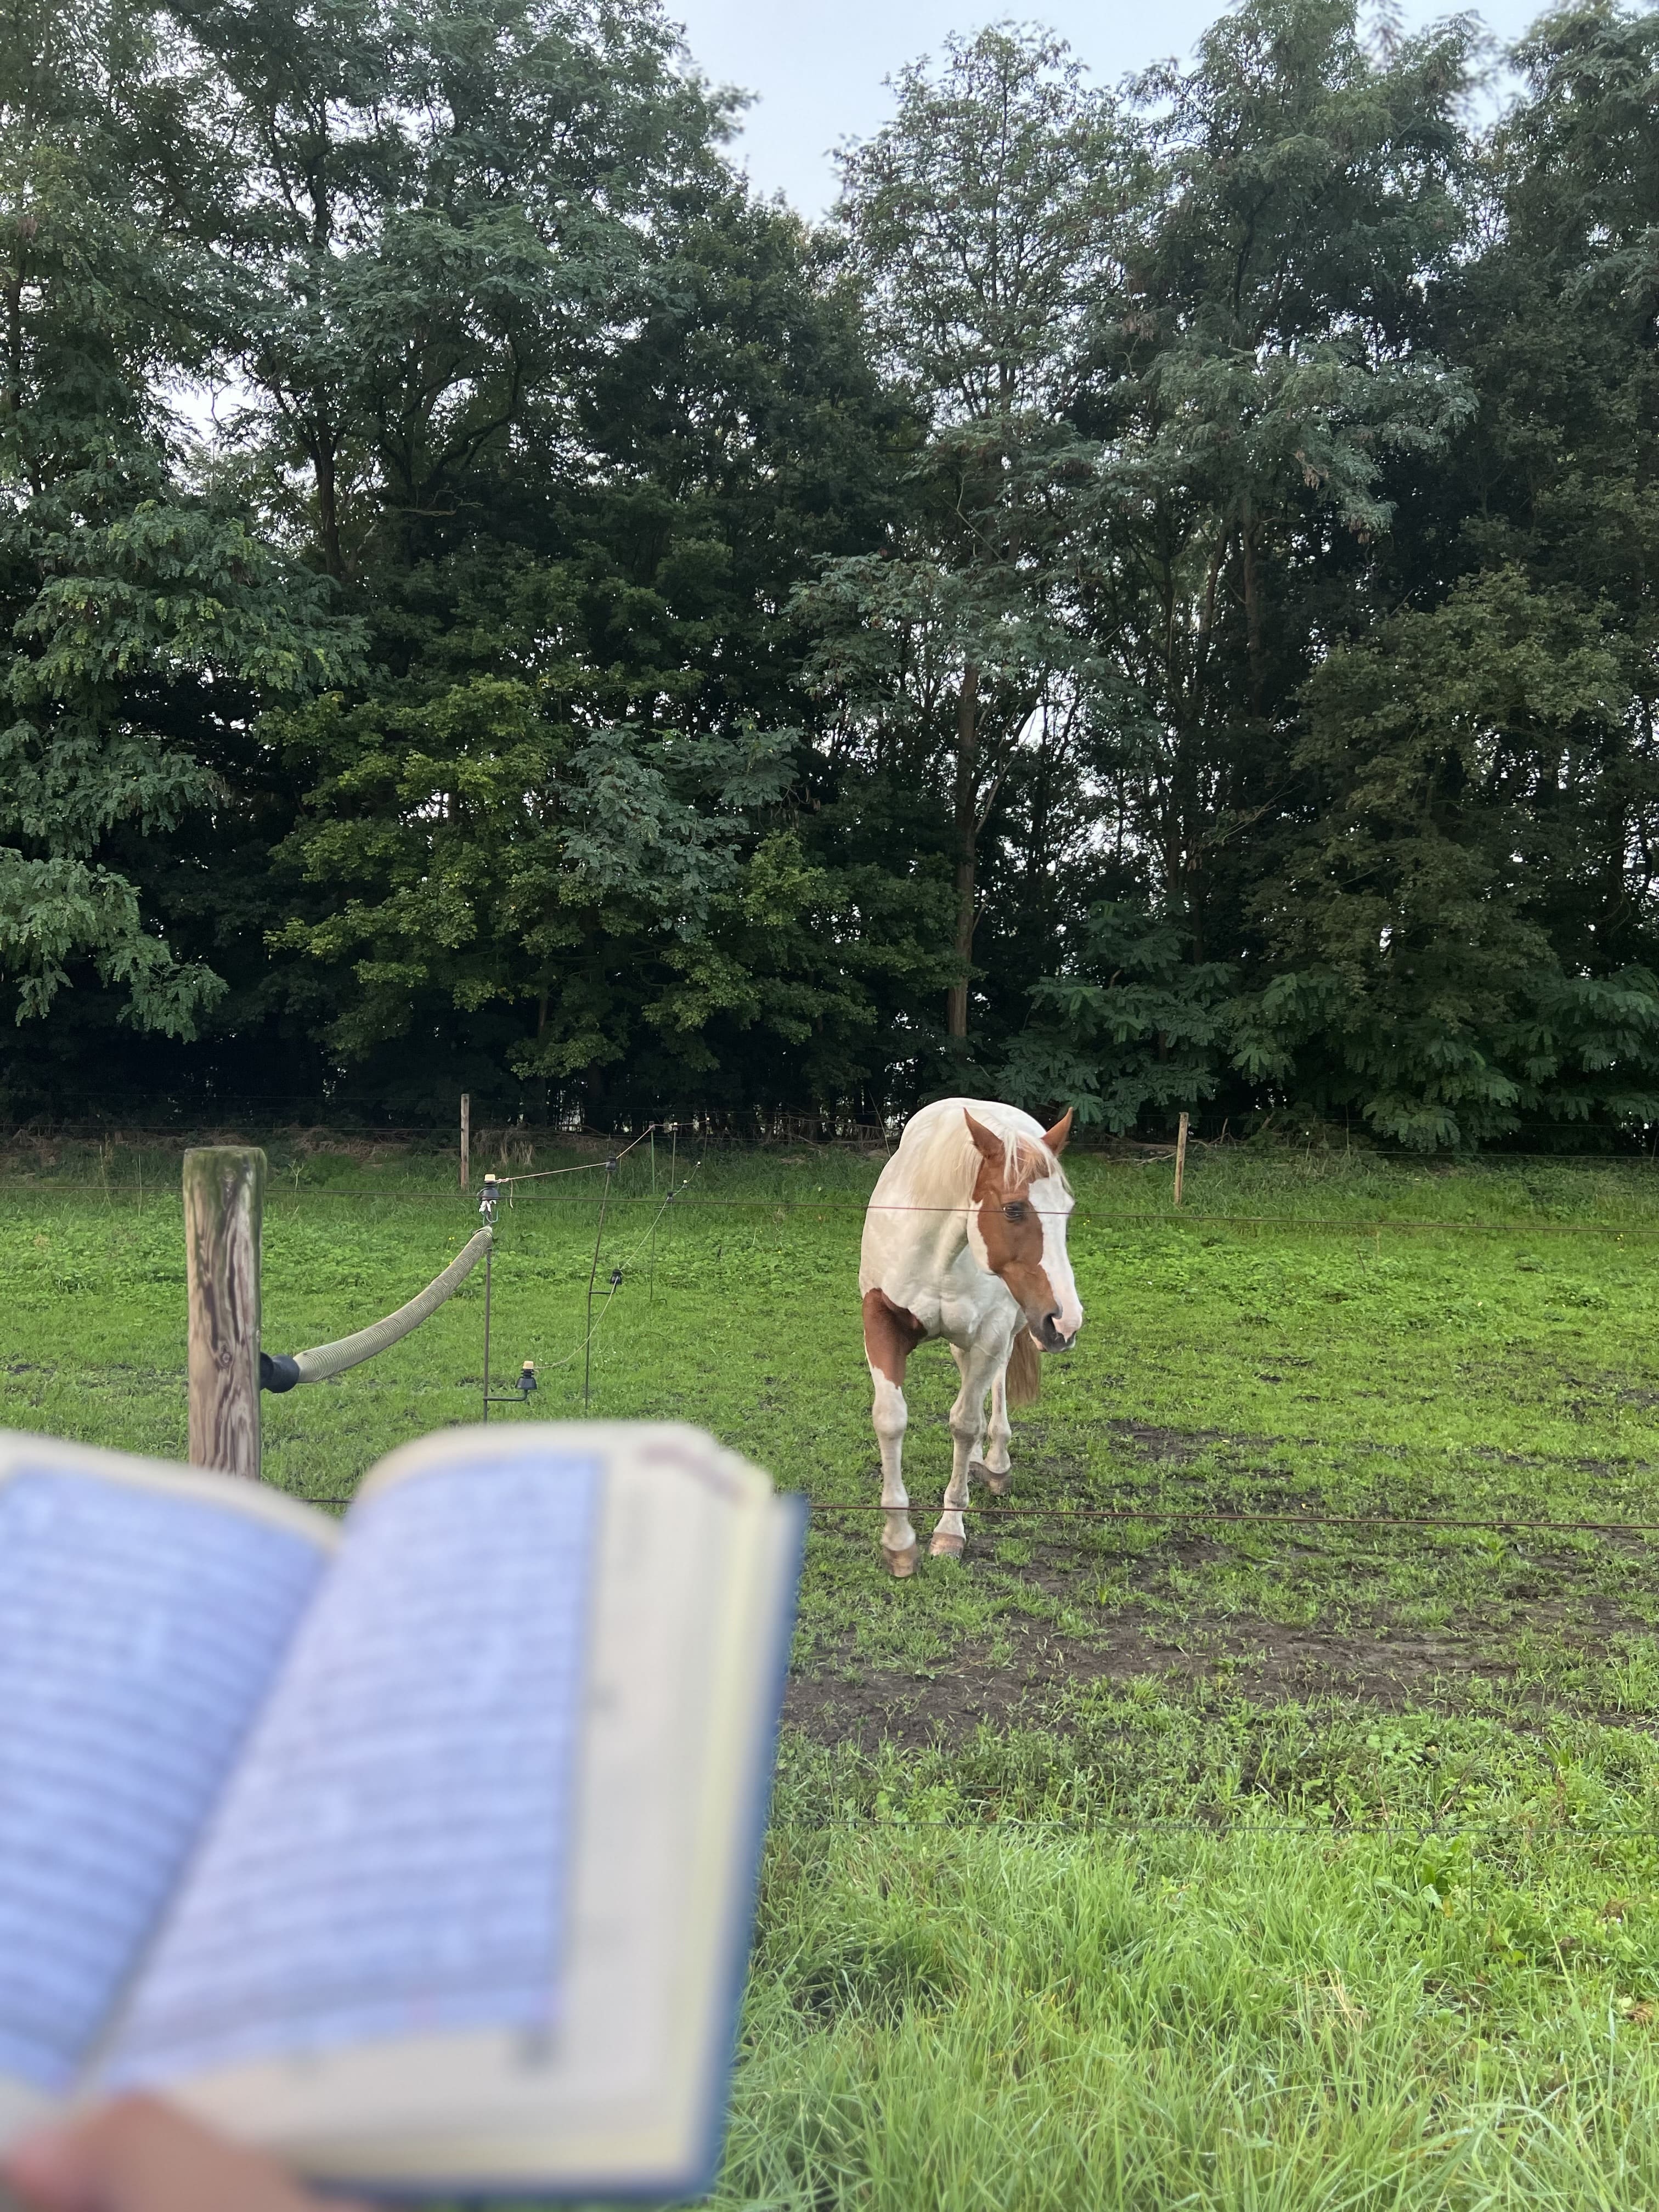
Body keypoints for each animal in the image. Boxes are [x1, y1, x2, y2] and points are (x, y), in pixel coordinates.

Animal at [859, 1098, 1082, 1576]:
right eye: (1014, 1209)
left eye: (1067, 1210)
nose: (1066, 1323)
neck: (939, 1249)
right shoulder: (880, 1319)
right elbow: (890, 1419)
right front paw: (899, 1543)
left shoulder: (991, 1333)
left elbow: (963, 1424)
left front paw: (949, 1531)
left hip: (1008, 1329)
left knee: (991, 1389)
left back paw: (995, 1461)